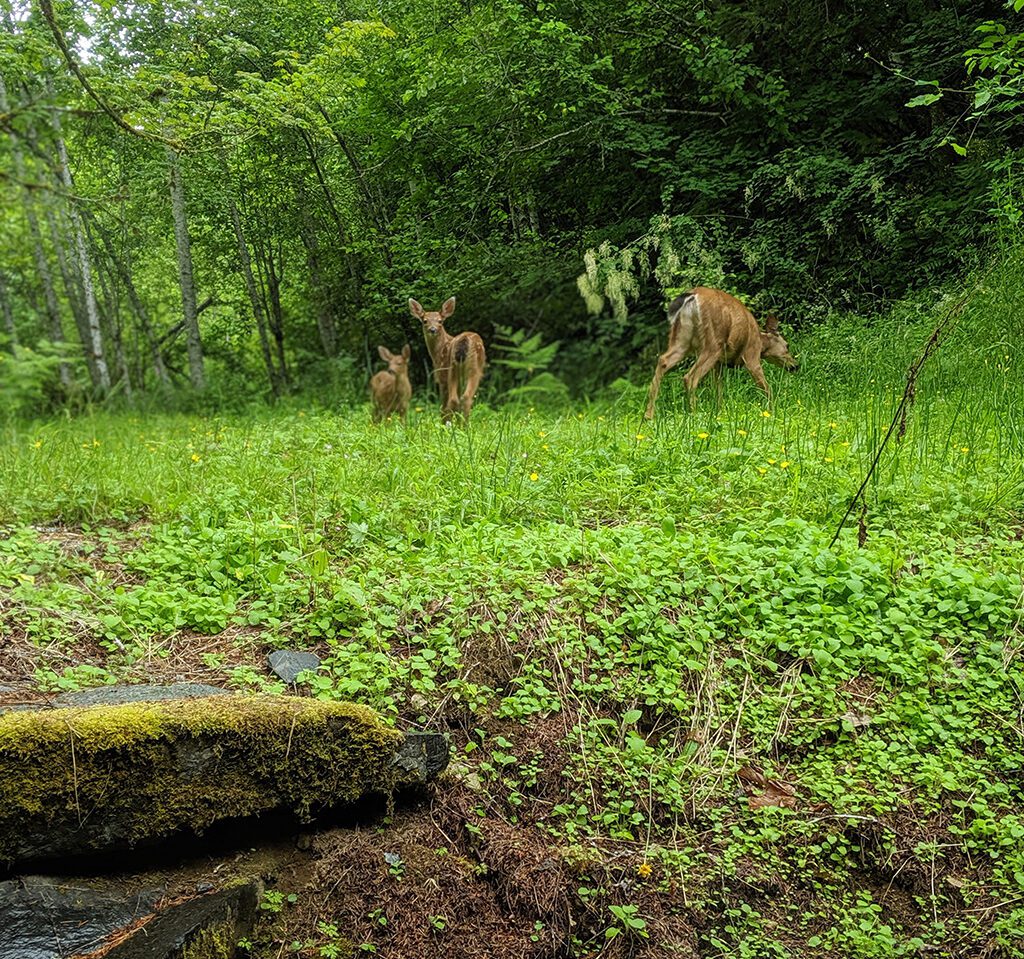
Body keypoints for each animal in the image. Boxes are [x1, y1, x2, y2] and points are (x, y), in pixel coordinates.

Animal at [644, 286, 798, 419]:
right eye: (787, 345)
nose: (795, 365)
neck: (761, 342)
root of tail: (692, 296)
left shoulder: (718, 363)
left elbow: (718, 388)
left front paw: (719, 412)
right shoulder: (751, 355)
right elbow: (766, 387)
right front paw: (773, 411)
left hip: (682, 340)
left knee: (663, 360)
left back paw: (648, 416)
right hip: (713, 342)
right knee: (690, 377)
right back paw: (693, 414)